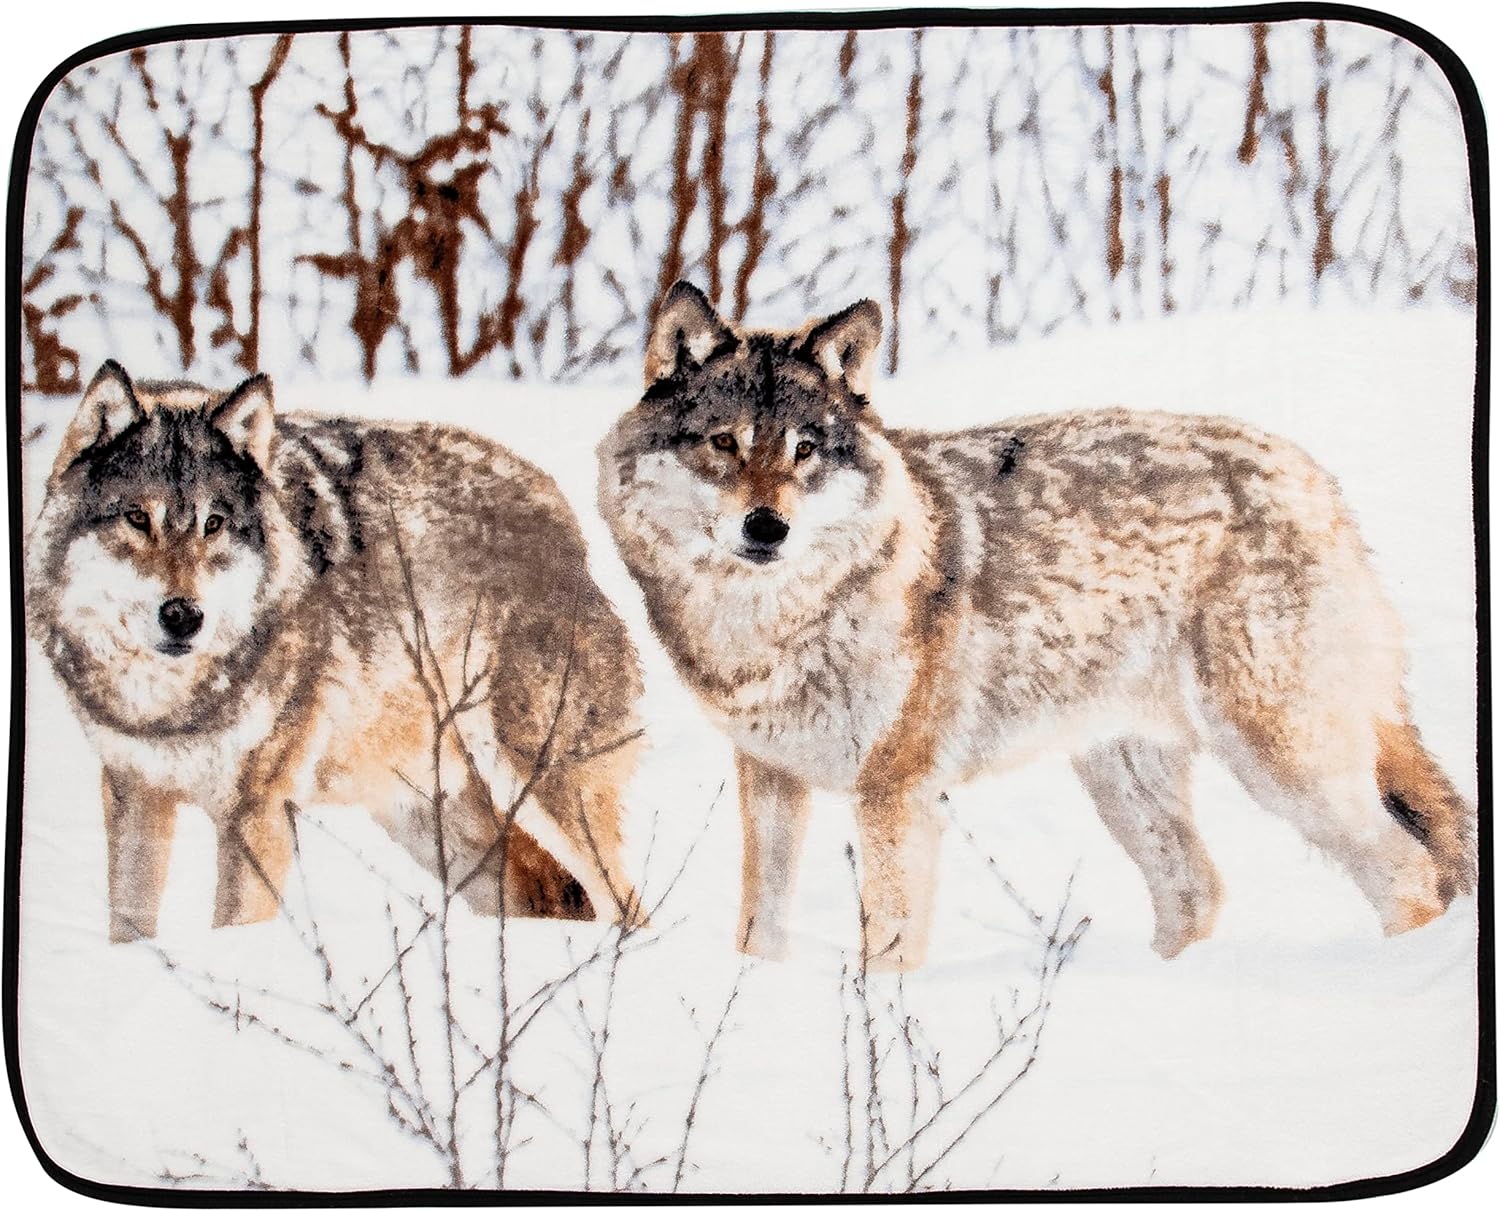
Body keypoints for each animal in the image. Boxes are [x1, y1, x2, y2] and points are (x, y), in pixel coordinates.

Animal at [28, 362, 644, 943]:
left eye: (213, 524)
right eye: (137, 518)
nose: (183, 615)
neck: (167, 705)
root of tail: (565, 520)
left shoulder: (259, 811)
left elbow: (235, 926)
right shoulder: (133, 793)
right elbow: (129, 927)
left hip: (539, 788)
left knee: (627, 903)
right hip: (438, 825)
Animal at [598, 281, 1475, 970]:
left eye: (806, 449)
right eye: (724, 443)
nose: (767, 528)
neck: (772, 624)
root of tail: (1314, 478)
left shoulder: (894, 790)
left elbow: (888, 943)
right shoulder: (770, 775)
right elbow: (761, 928)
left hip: (1282, 763)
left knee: (1408, 872)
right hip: (1123, 777)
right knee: (1198, 888)